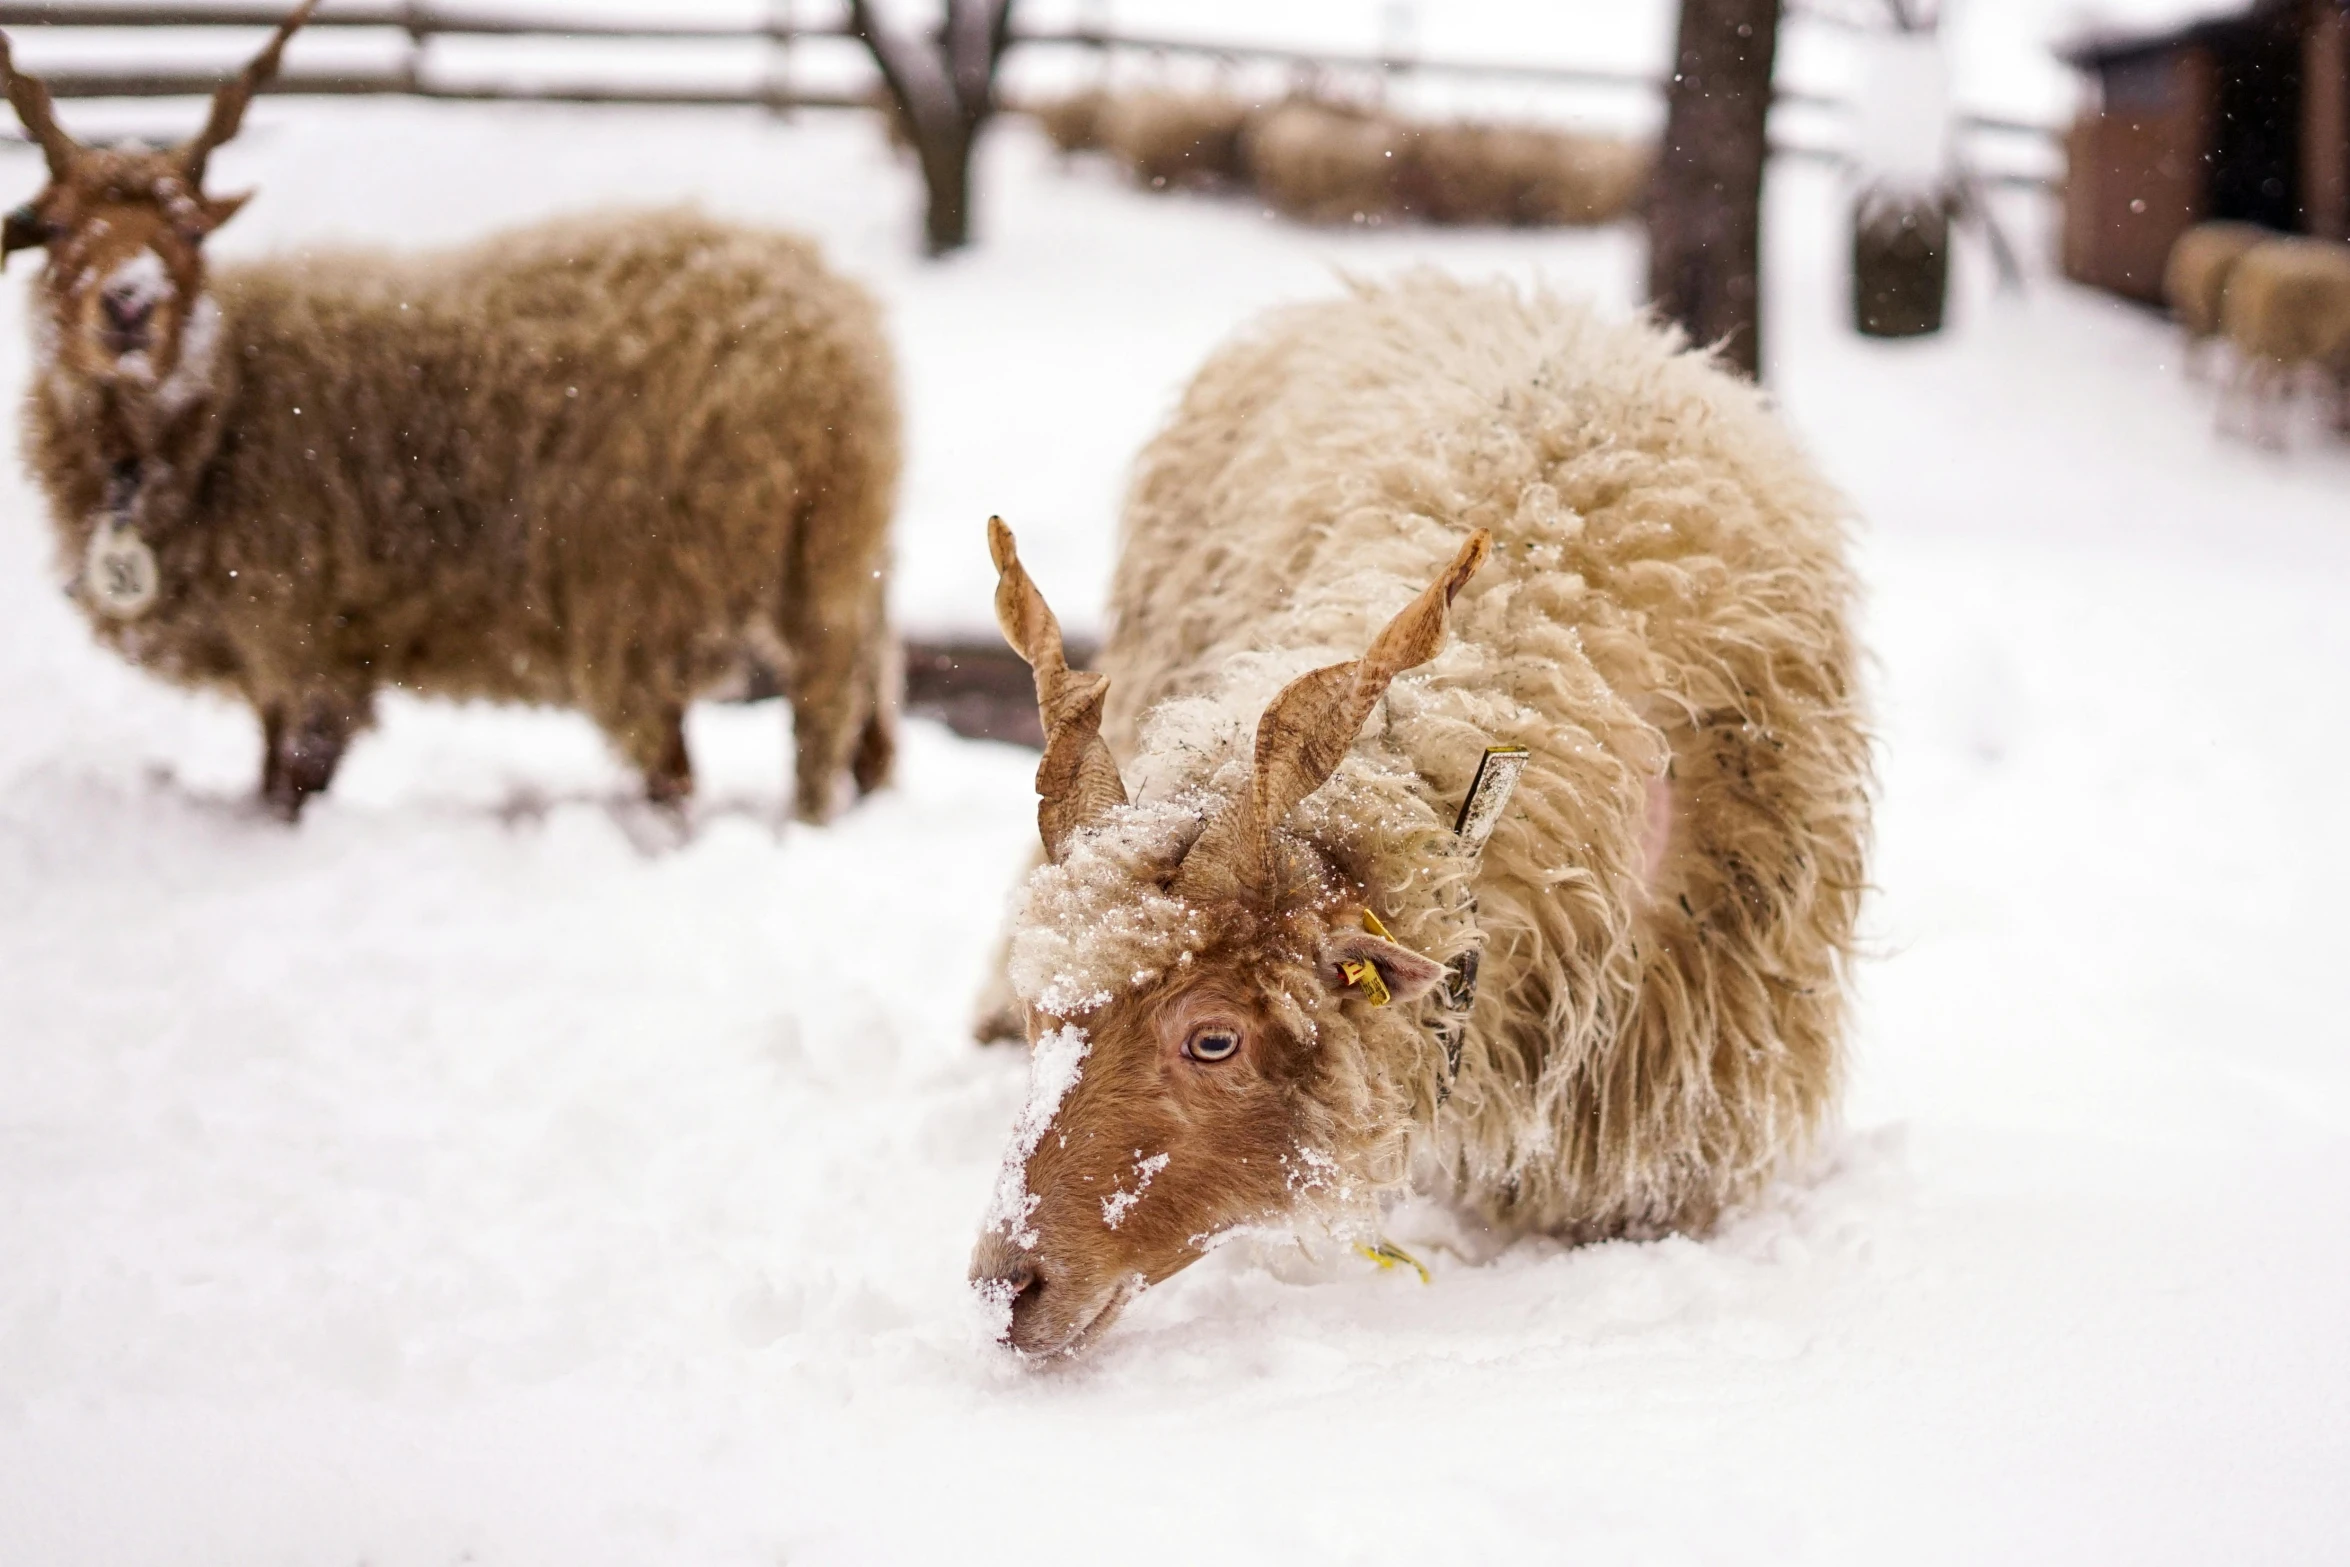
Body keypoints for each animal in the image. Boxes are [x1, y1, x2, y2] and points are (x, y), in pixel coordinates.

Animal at [2, 6, 897, 822]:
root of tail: (836, 342)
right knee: (870, 726)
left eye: (189, 229)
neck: (220, 409)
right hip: (837, 568)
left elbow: (291, 782)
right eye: (54, 225)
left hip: (649, 590)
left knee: (747, 754)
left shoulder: (307, 637)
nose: (129, 304)